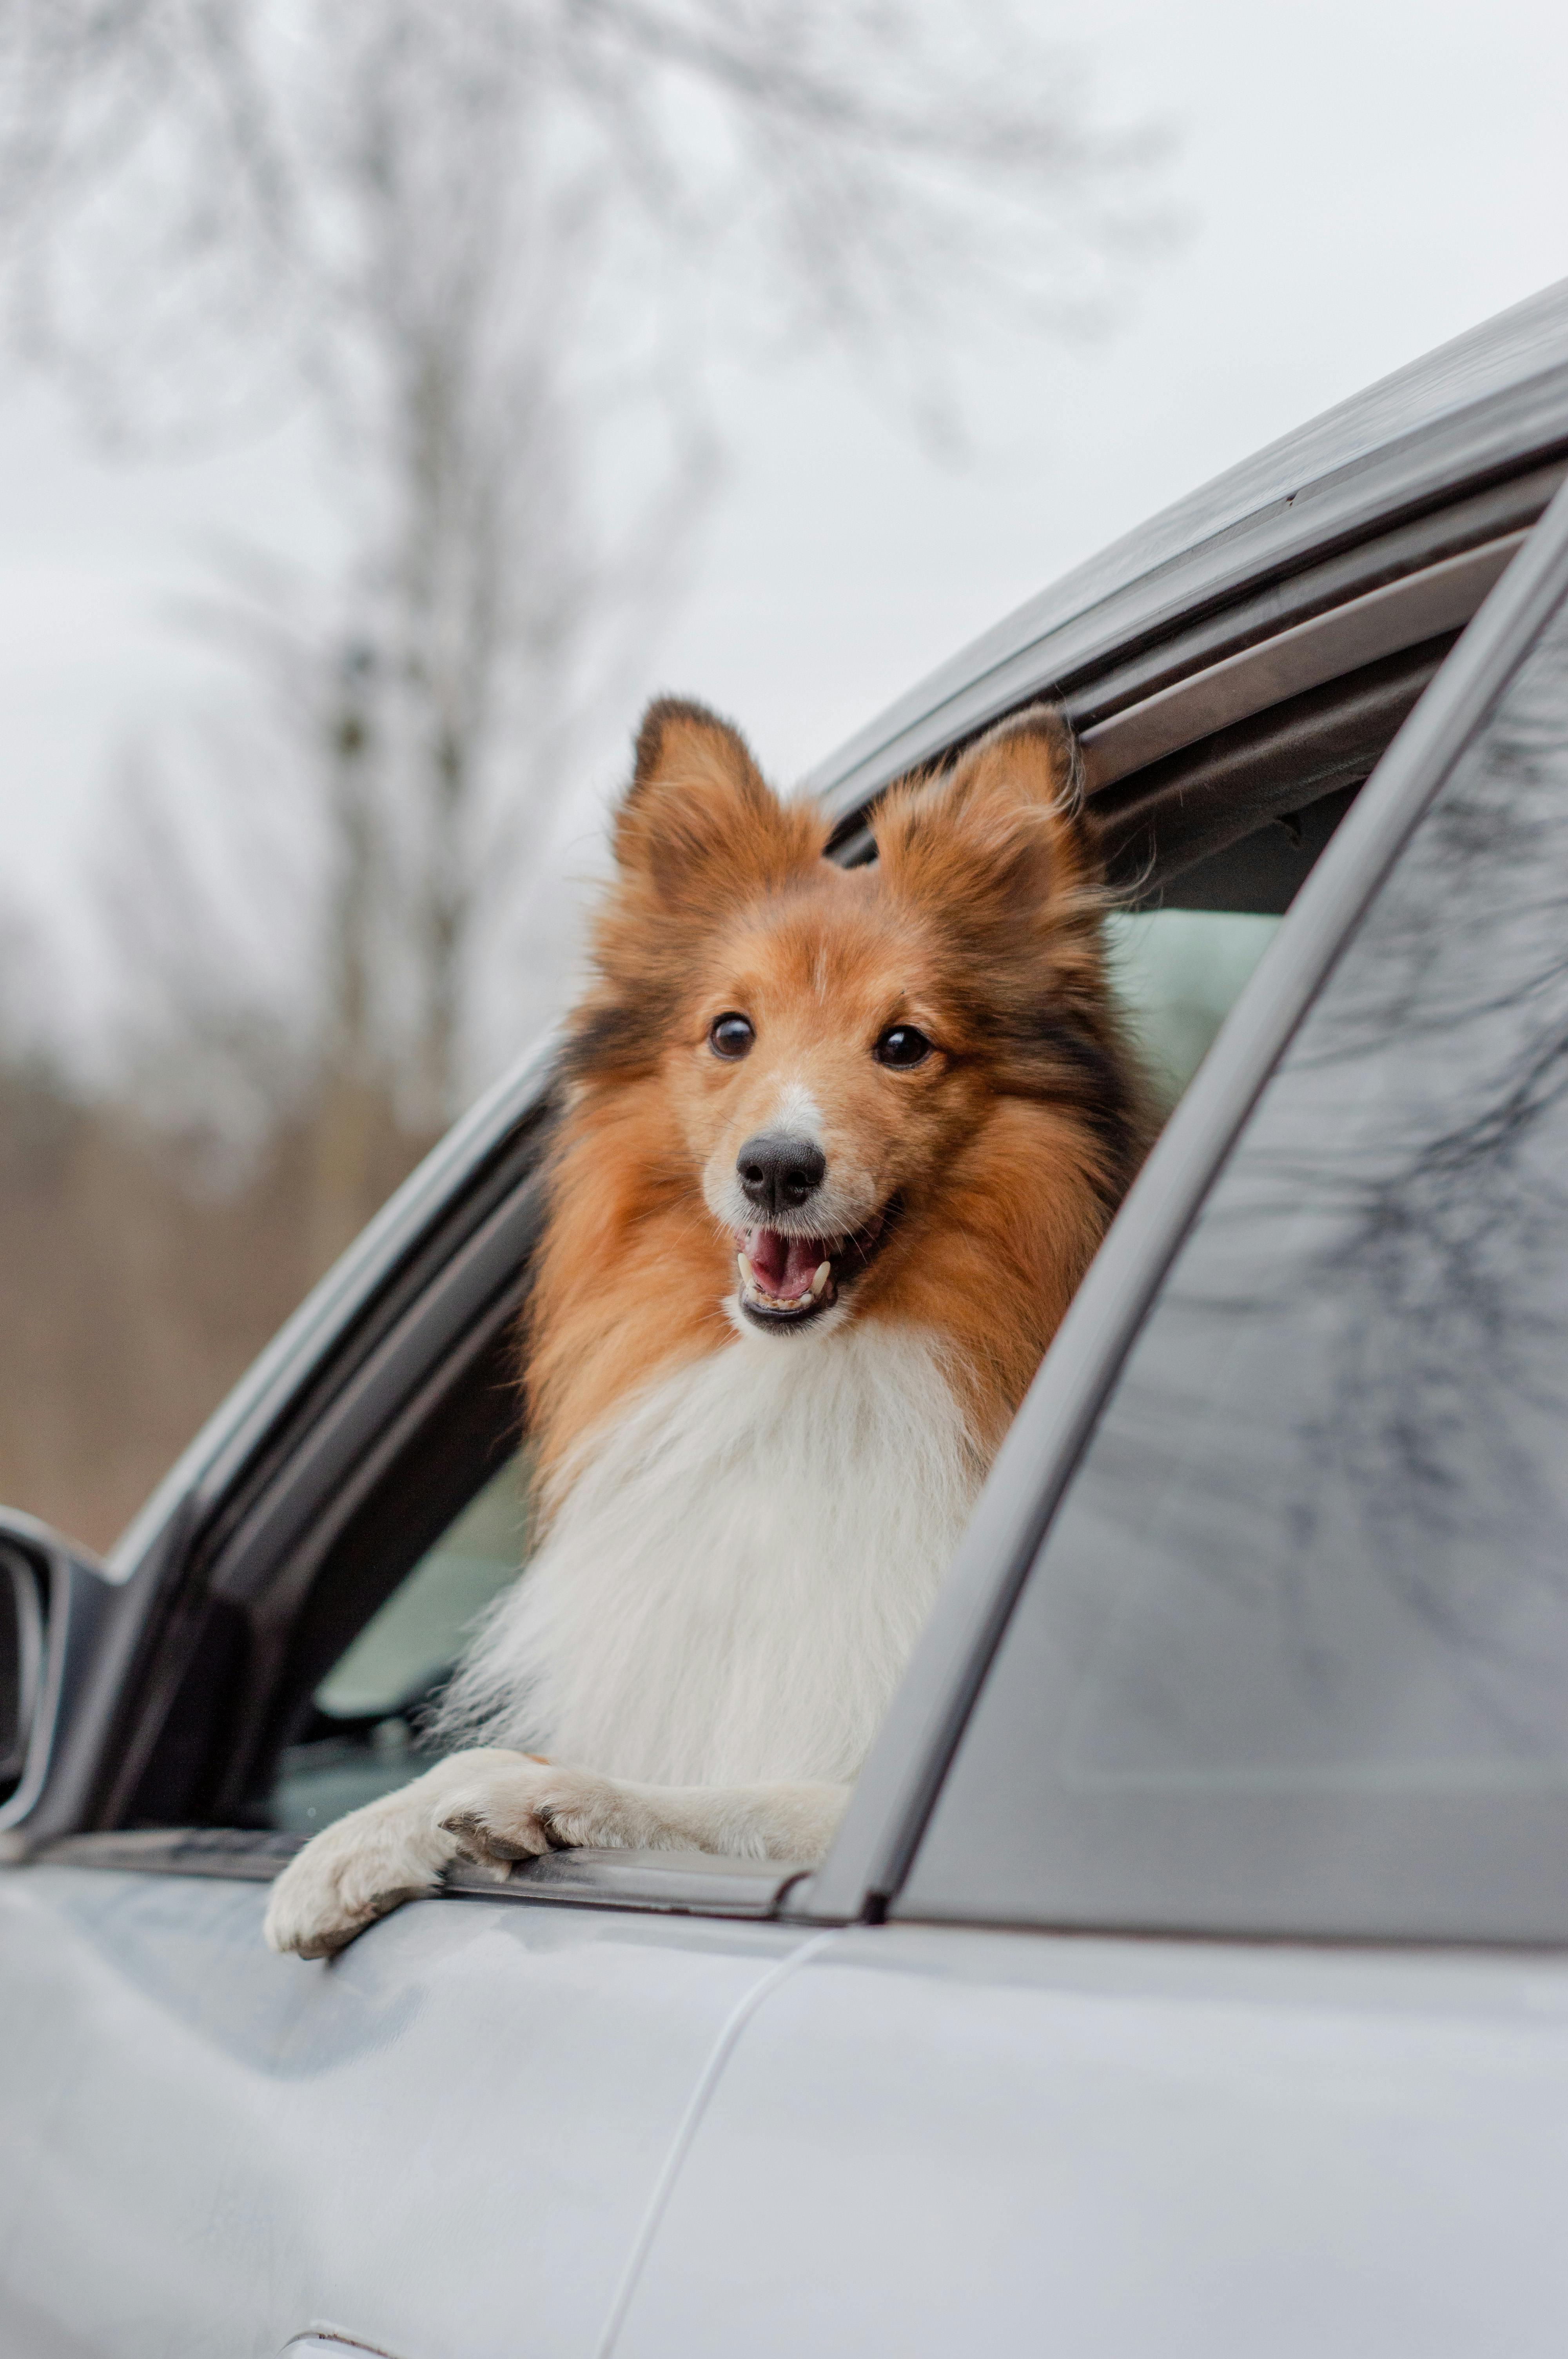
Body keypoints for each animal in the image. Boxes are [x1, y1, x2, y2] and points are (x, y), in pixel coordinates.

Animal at [263, 693, 1146, 1953]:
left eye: (904, 1043)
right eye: (733, 1033)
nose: (776, 1169)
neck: (814, 1381)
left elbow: (742, 1796)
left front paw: (544, 1797)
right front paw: (352, 1844)